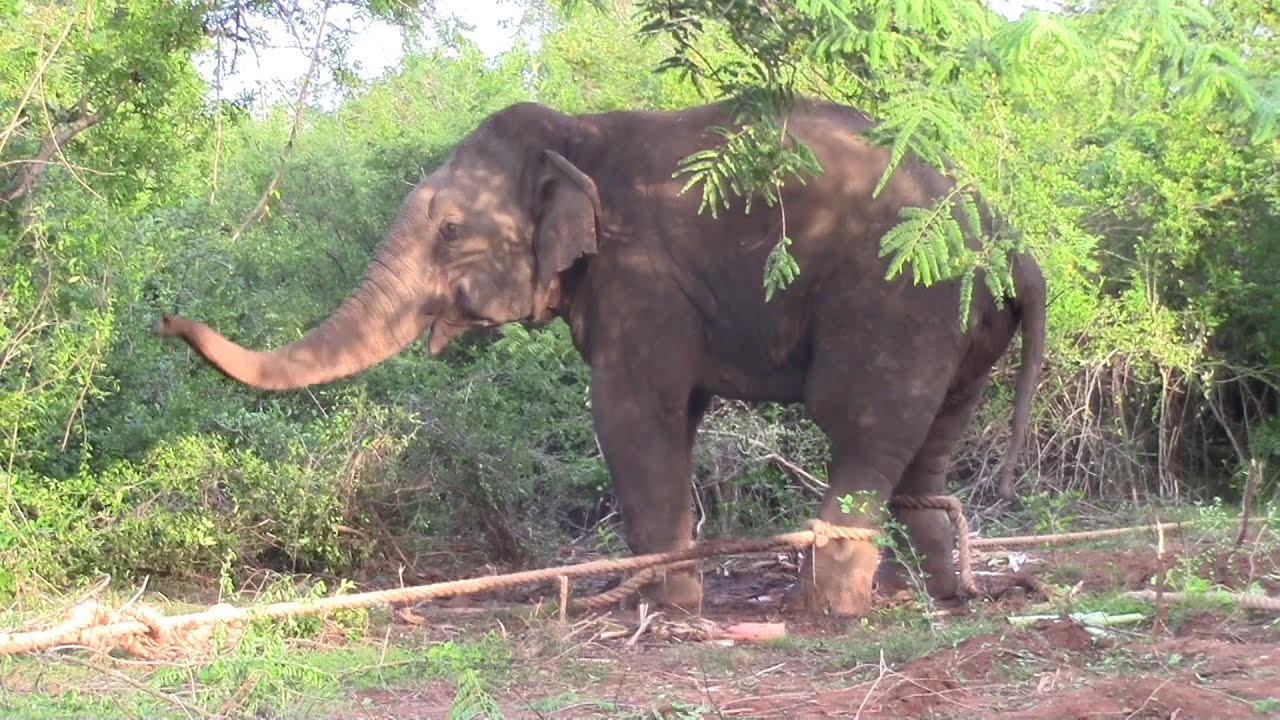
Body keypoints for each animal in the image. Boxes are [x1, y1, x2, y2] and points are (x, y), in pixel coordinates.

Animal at [157, 96, 1045, 617]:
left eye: (450, 231)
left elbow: (631, 415)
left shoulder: (640, 273)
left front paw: (666, 611)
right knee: (928, 449)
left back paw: (824, 612)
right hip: (962, 319)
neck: (576, 130)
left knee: (858, 427)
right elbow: (672, 418)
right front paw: (666, 600)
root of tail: (1006, 235)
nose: (165, 320)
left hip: (899, 294)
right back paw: (955, 592)